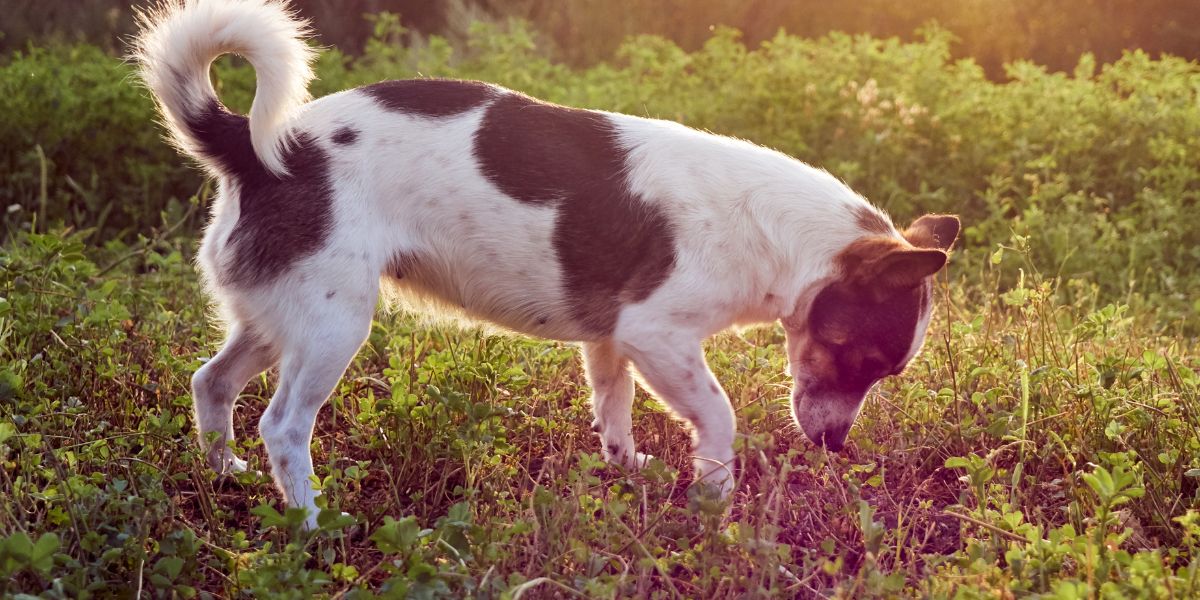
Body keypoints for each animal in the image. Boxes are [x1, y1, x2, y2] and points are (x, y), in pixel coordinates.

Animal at [133, 0, 955, 528]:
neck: (781, 234)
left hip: (278, 316)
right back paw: (309, 520)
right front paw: (713, 501)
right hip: (333, 326)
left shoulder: (612, 339)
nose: (834, 447)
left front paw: (627, 472)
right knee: (281, 425)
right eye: (861, 359)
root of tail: (253, 148)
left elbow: (614, 409)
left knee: (211, 381)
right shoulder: (658, 335)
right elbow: (718, 417)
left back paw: (223, 474)